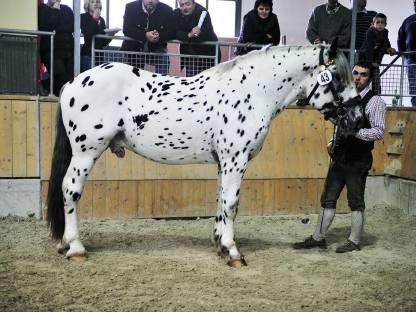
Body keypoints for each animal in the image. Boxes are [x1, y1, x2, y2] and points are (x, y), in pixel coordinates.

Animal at [46, 40, 364, 266]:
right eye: (337, 78)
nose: (358, 120)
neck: (253, 91)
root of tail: (73, 82)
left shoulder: (224, 162)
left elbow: (221, 201)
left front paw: (220, 244)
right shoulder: (236, 160)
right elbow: (232, 203)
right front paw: (233, 252)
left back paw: (64, 243)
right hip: (86, 151)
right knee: (70, 190)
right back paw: (75, 247)